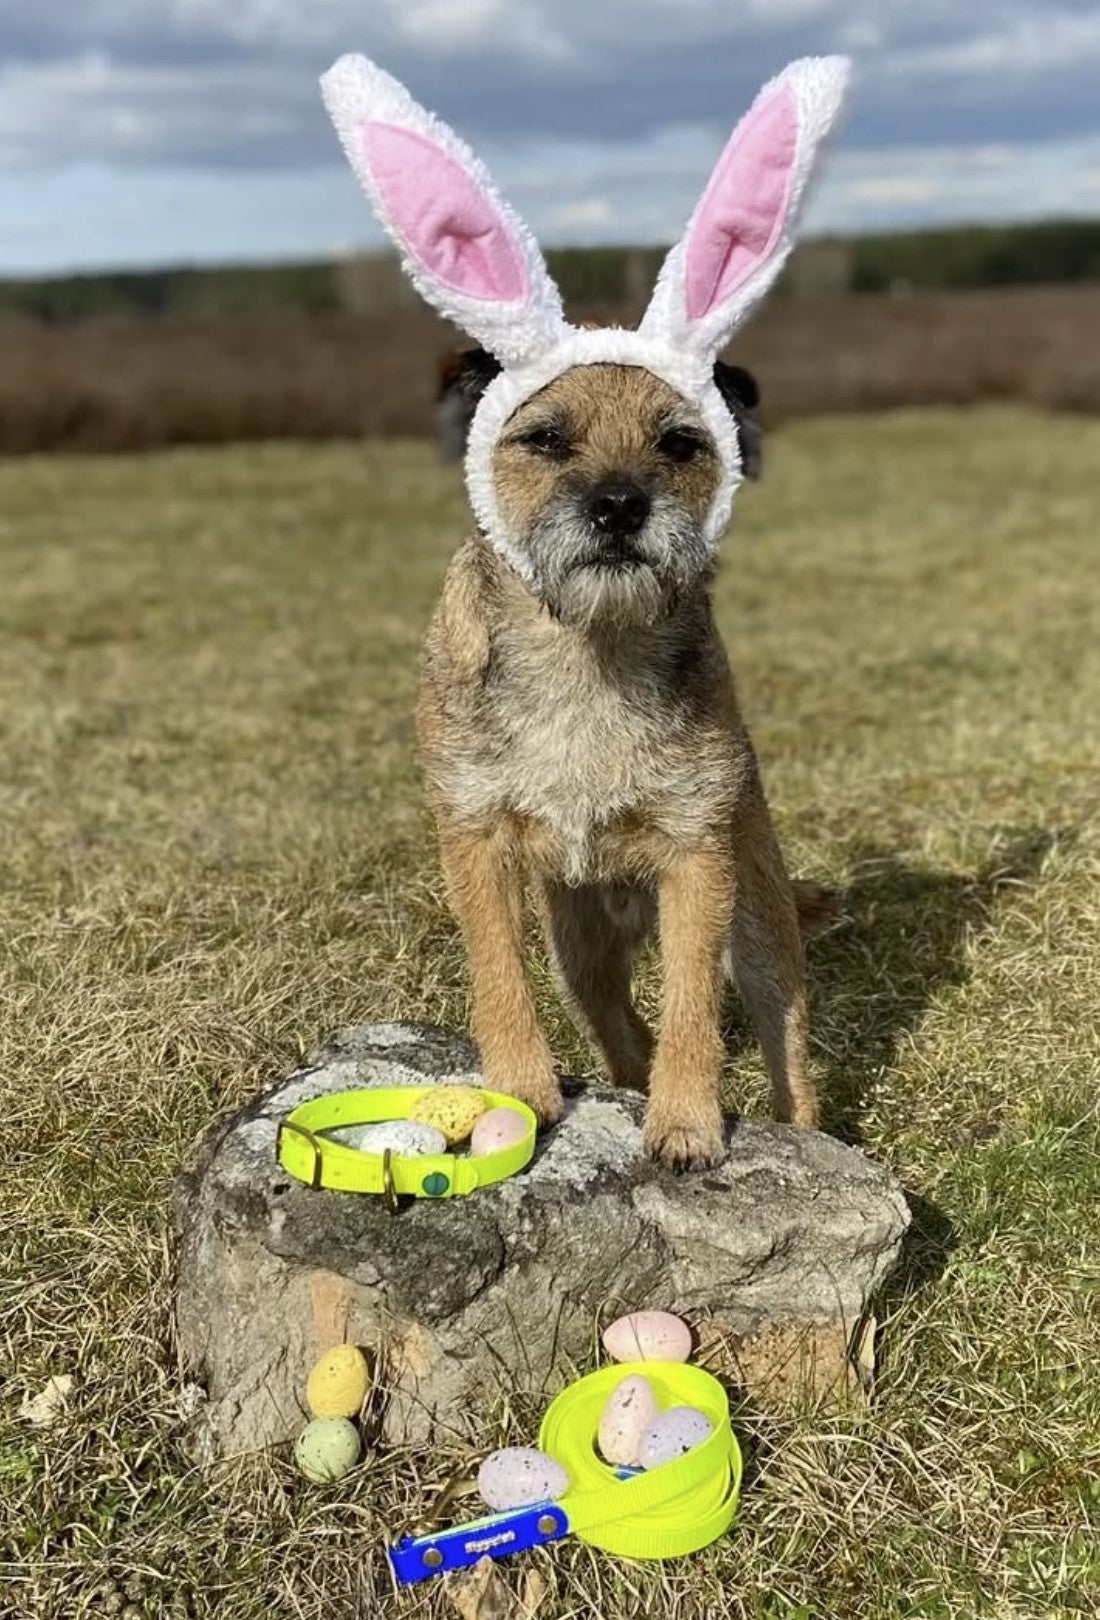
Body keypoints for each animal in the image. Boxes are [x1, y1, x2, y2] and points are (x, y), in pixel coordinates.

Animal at [319, 47, 848, 1166]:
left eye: (680, 444)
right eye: (546, 439)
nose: (617, 504)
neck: (586, 652)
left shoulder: (696, 861)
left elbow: (692, 1007)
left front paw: (685, 1125)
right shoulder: (475, 841)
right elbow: (497, 979)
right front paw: (519, 1092)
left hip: (761, 923)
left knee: (780, 1047)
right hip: (583, 948)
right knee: (616, 1027)